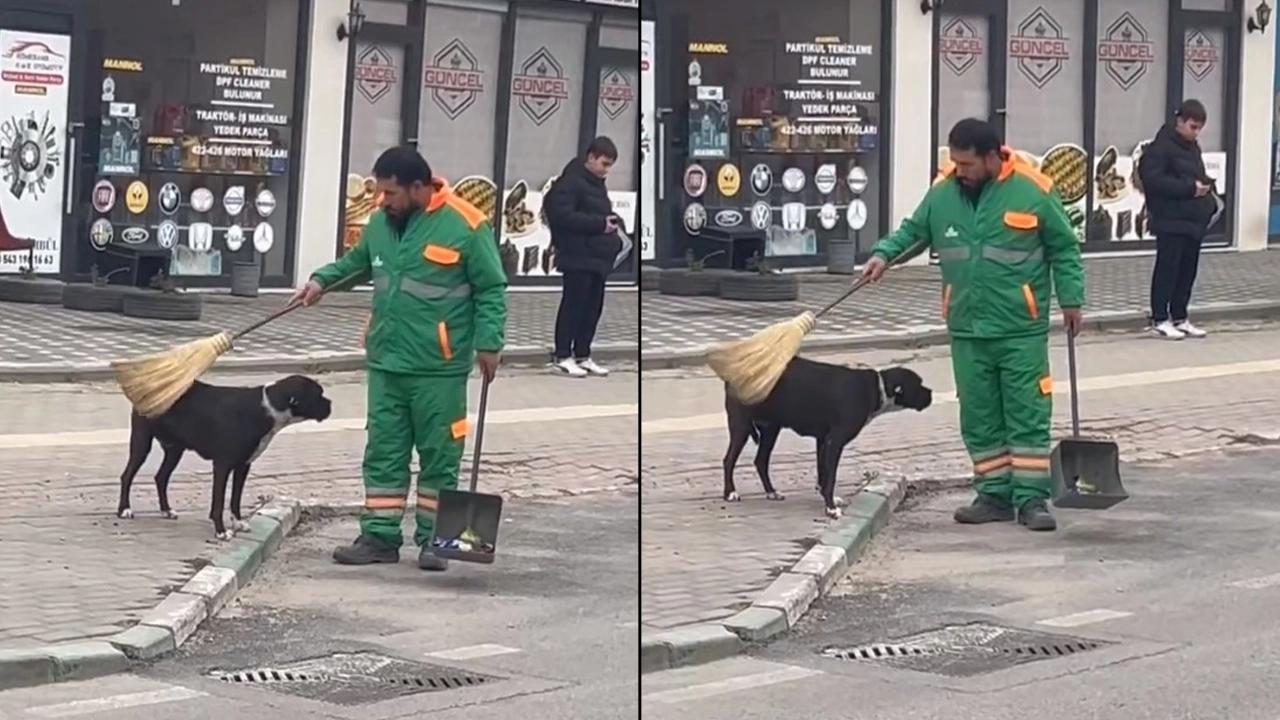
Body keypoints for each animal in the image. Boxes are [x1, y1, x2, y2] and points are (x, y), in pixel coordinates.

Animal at [117, 371, 332, 535]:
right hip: (141, 443)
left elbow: (235, 498)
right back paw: (124, 509)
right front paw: (221, 531)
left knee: (161, 477)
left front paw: (238, 523)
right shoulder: (222, 465)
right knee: (127, 475)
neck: (268, 407)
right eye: (318, 394)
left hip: (175, 449)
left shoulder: (243, 466)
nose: (330, 403)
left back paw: (166, 510)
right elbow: (219, 501)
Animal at [721, 356, 931, 515]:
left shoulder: (822, 440)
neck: (877, 389)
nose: (931, 392)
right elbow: (831, 477)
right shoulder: (834, 441)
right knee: (729, 460)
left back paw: (771, 492)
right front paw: (830, 509)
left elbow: (823, 473)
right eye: (919, 384)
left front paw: (828, 500)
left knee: (760, 461)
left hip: (771, 429)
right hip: (741, 426)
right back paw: (730, 493)